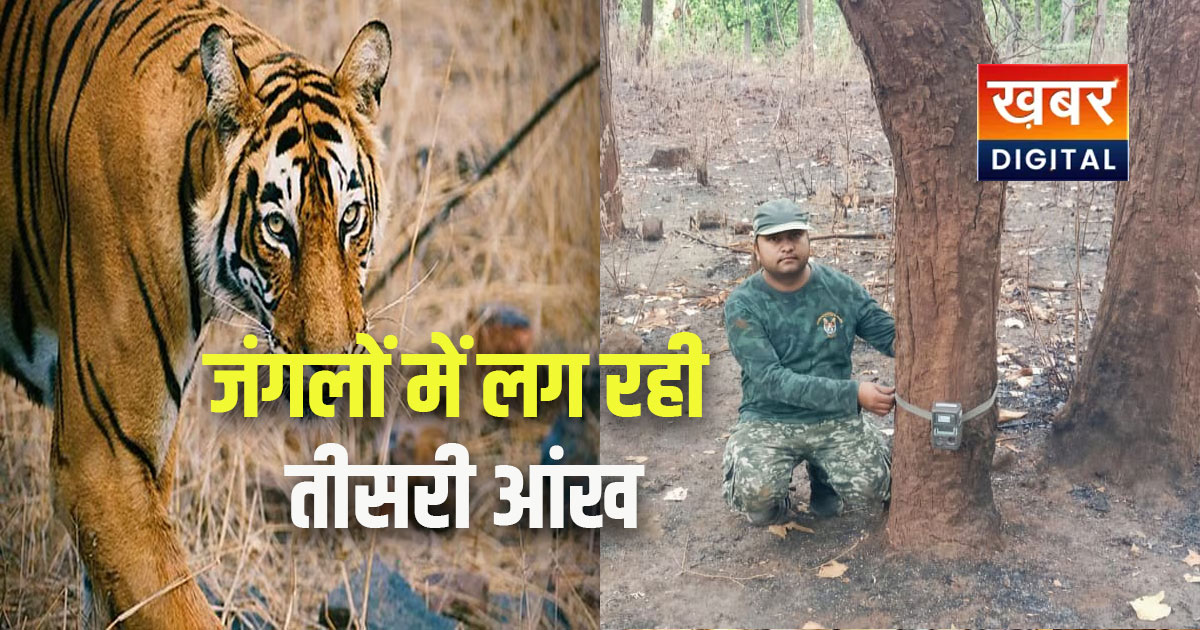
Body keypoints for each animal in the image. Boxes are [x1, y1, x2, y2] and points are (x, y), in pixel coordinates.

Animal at [0, 0, 392, 627]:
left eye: (350, 217)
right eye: (276, 226)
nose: (332, 365)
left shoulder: (148, 459)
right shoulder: (99, 460)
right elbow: (177, 606)